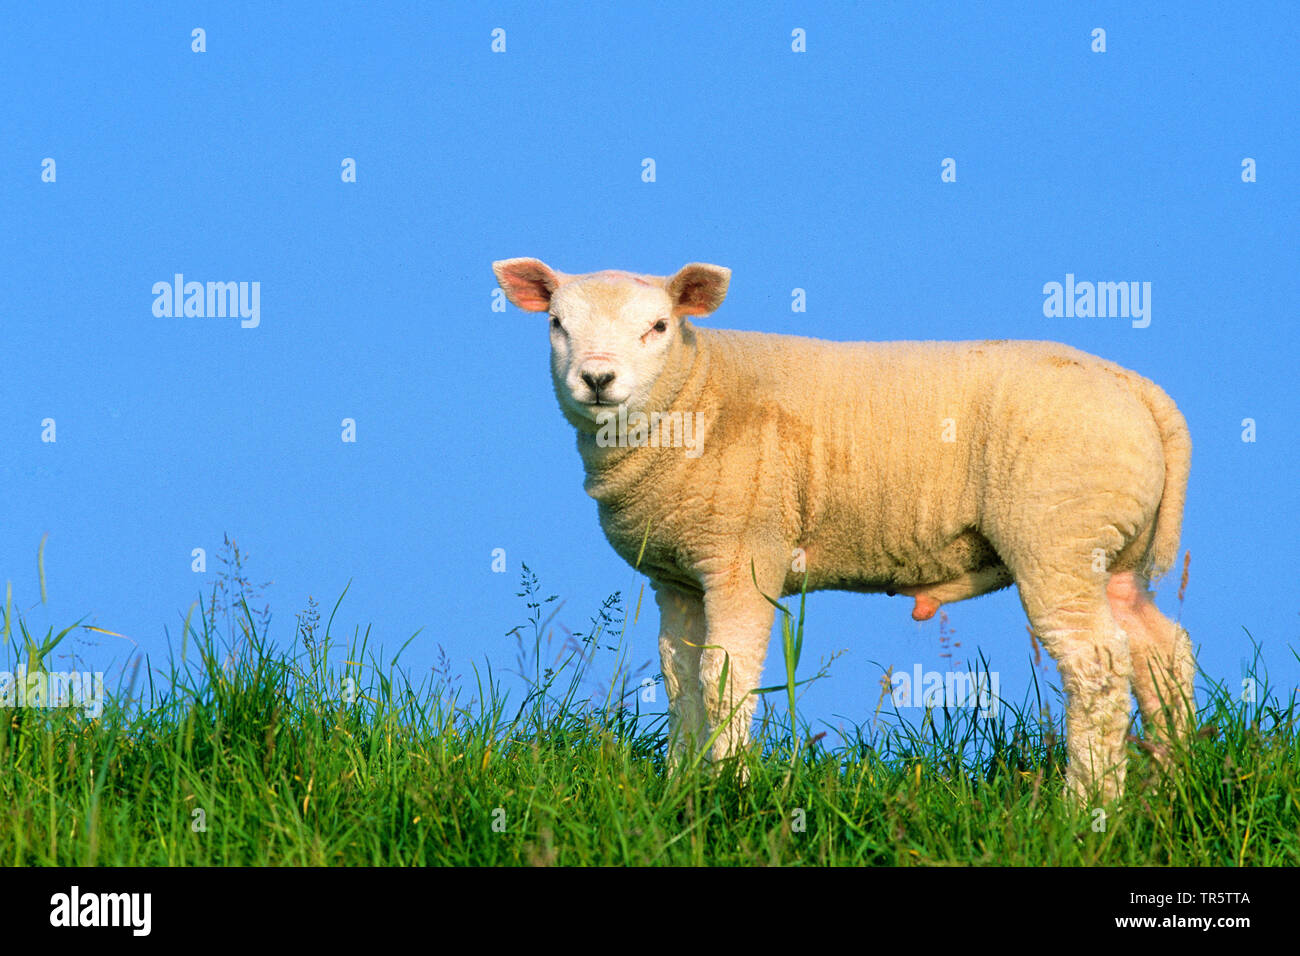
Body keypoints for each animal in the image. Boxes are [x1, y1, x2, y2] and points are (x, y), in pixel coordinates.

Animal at [493, 257, 1196, 806]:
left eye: (659, 326)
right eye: (557, 324)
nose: (597, 378)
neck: (697, 390)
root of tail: (1139, 390)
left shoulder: (743, 552)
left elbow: (725, 674)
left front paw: (730, 790)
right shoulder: (677, 576)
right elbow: (680, 678)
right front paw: (681, 787)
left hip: (1058, 531)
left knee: (1099, 667)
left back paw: (1086, 809)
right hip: (1111, 551)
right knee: (1160, 651)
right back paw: (1171, 786)